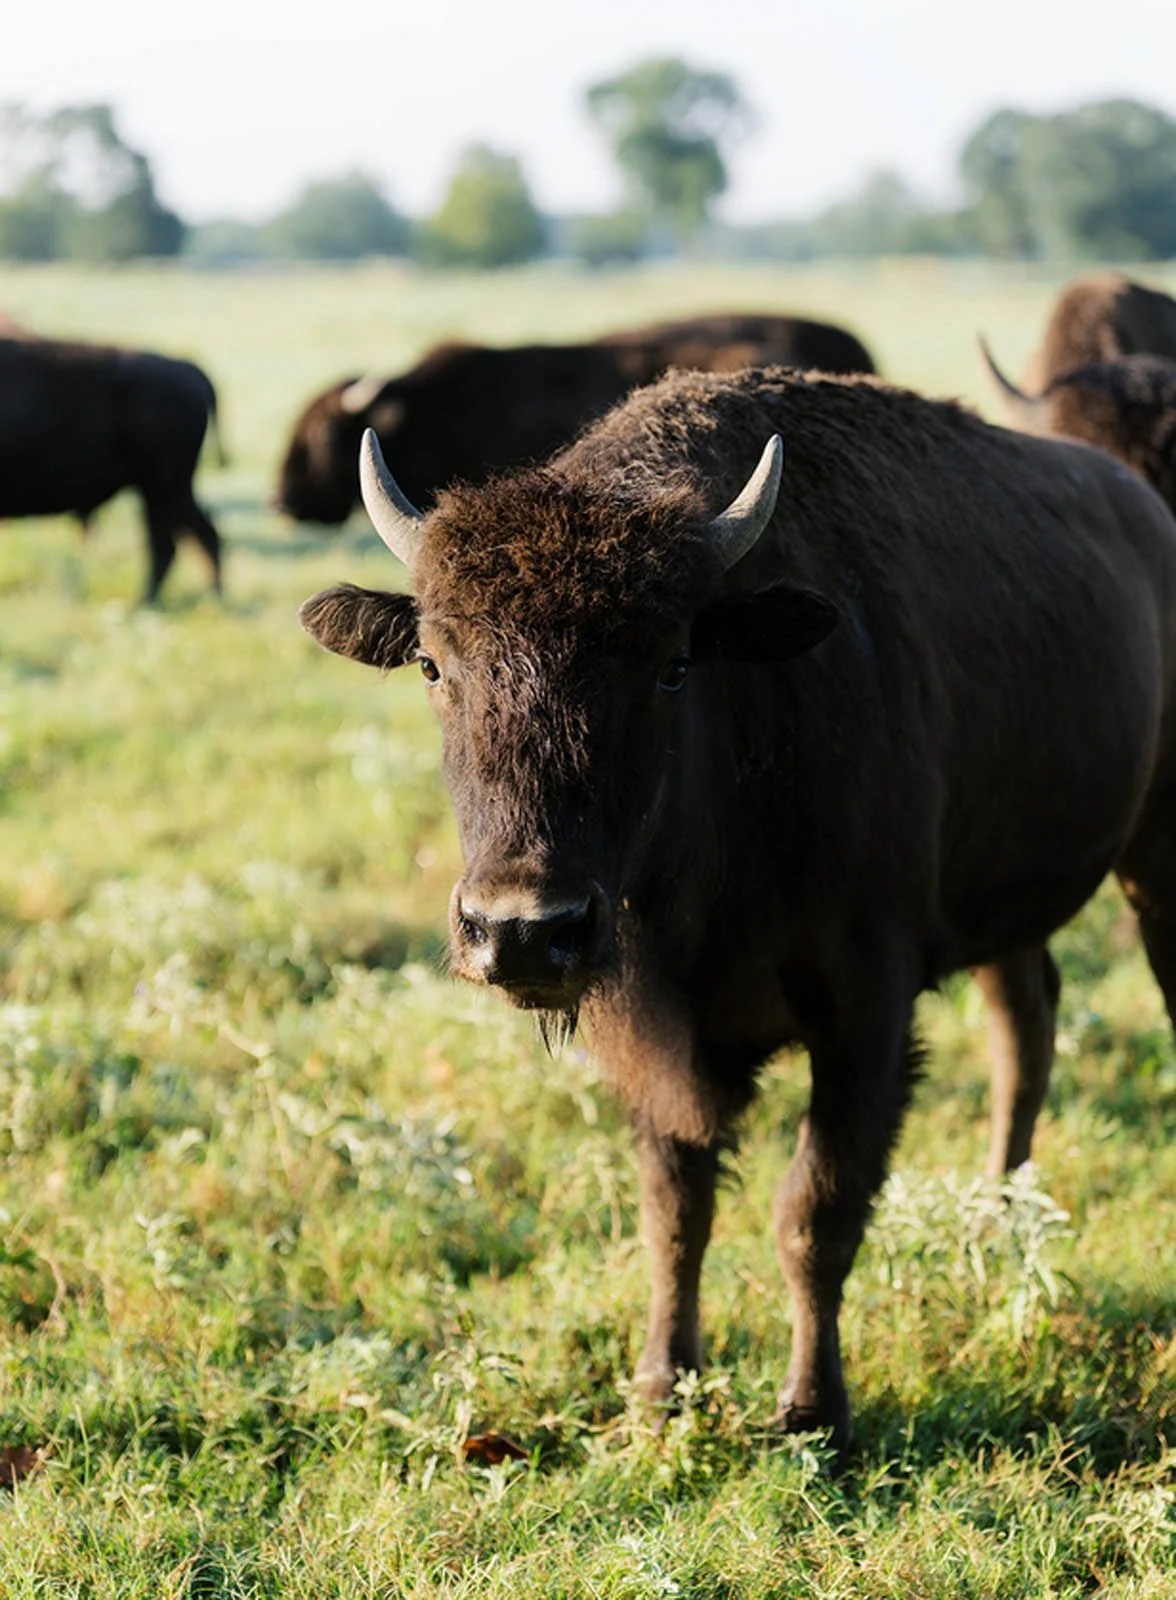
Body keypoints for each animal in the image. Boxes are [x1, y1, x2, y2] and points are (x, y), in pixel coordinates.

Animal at [0, 335, 225, 601]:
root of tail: (187, 368)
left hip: (160, 488)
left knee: (166, 544)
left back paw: (145, 601)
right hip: (174, 489)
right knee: (202, 533)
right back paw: (213, 596)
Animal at [301, 366, 1176, 1454]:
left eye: (672, 664)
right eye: (431, 663)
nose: (521, 929)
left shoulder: (865, 1015)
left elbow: (815, 1213)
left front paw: (813, 1415)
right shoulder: (651, 1035)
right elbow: (676, 1207)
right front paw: (657, 1390)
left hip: (1155, 859)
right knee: (1027, 1025)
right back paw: (994, 1220)